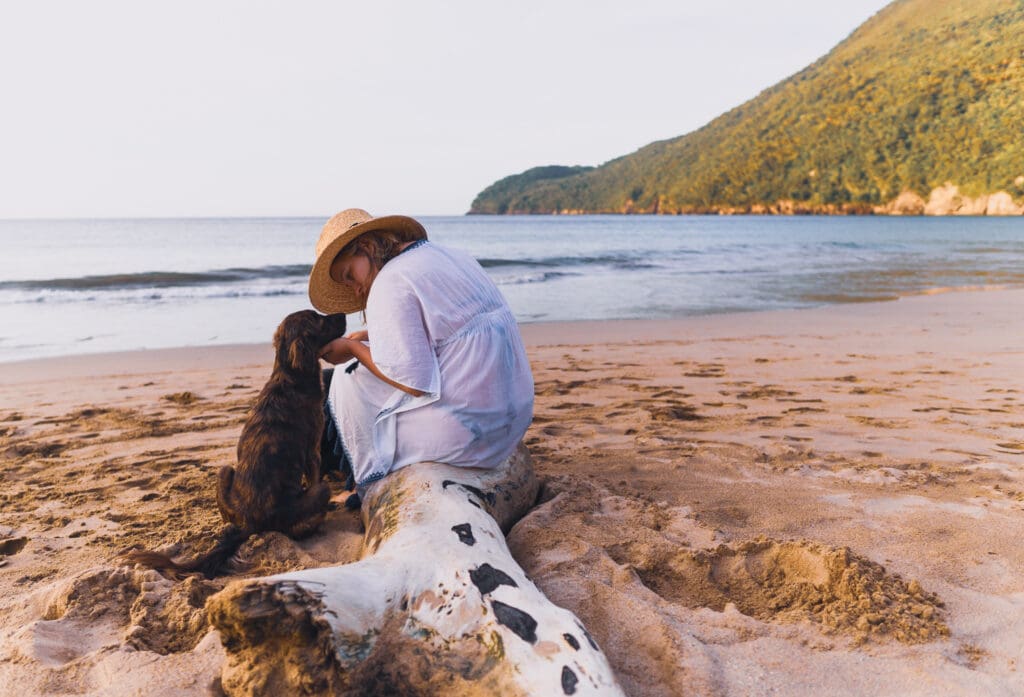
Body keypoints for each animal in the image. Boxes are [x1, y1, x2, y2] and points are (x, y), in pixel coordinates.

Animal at [122, 309, 348, 577]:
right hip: (317, 492)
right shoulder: (313, 452)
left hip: (225, 471)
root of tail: (251, 521)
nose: (344, 314)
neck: (289, 375)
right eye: (318, 319)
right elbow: (314, 475)